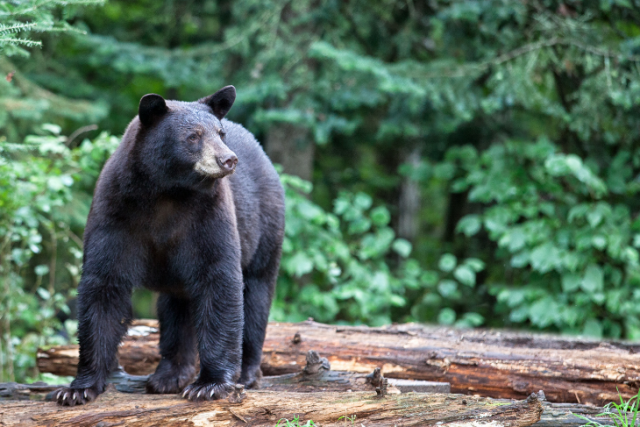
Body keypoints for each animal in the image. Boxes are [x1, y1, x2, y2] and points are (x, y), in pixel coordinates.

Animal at [55, 85, 285, 405]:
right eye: (193, 136)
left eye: (220, 133)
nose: (228, 159)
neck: (167, 192)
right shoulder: (115, 212)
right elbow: (104, 285)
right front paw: (78, 388)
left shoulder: (208, 215)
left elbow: (219, 279)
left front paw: (210, 384)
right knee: (176, 308)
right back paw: (169, 375)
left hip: (265, 226)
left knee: (256, 294)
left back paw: (248, 373)